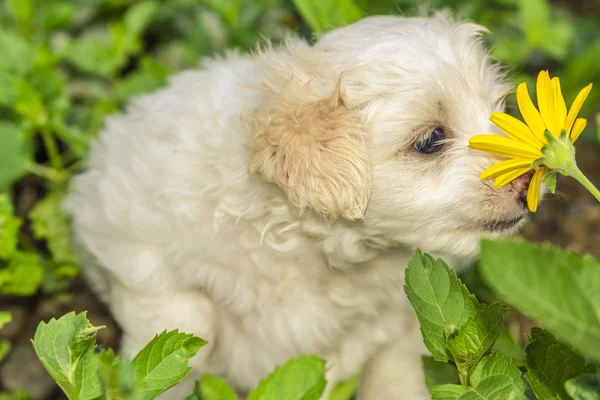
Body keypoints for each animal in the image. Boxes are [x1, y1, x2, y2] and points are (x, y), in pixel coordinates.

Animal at [67, 12, 536, 400]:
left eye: (498, 112)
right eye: (431, 139)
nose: (530, 179)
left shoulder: (402, 312)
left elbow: (394, 371)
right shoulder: (137, 252)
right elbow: (183, 326)